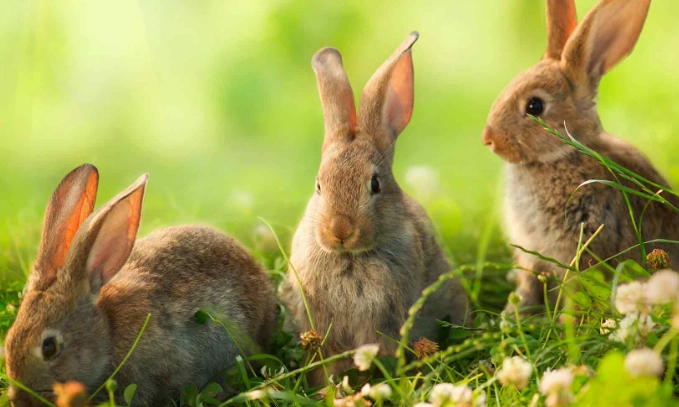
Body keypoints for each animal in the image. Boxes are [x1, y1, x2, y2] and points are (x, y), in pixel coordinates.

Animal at [482, 0, 679, 313]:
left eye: (534, 106)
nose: (488, 139)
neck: (562, 155)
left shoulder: (583, 248)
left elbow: (577, 292)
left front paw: (568, 320)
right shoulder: (532, 256)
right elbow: (528, 284)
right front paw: (512, 314)